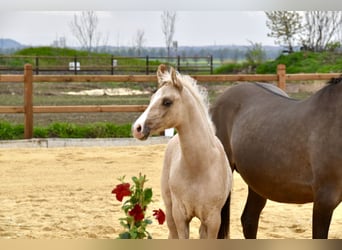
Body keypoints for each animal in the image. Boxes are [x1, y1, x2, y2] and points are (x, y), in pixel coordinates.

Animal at [132, 64, 234, 238]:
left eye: (167, 101)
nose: (137, 128)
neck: (199, 167)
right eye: (152, 99)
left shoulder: (213, 220)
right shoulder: (180, 216)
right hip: (169, 208)